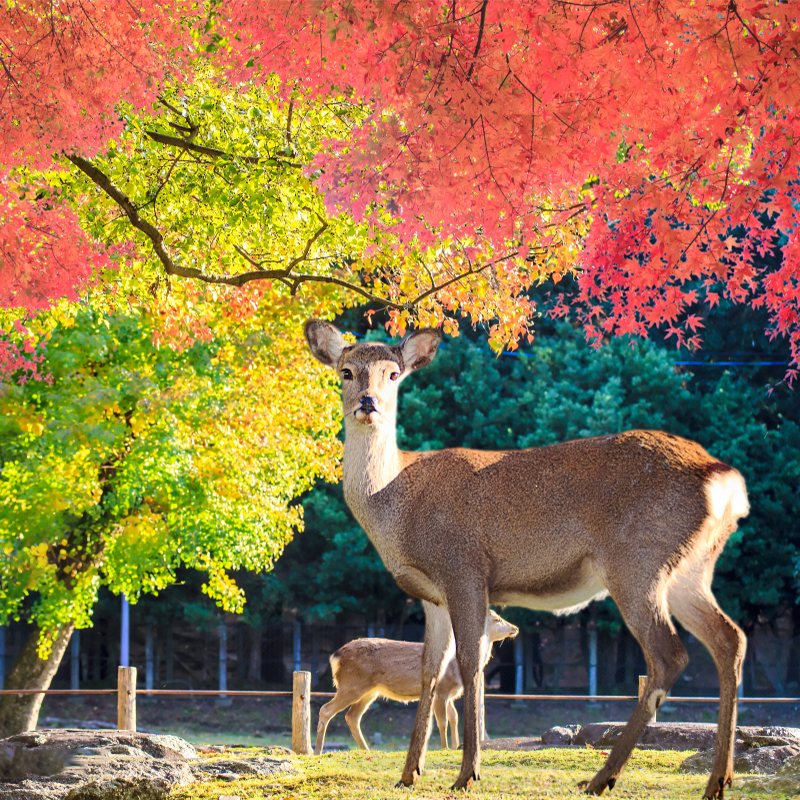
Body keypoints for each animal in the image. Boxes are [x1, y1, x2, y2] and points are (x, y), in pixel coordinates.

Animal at [314, 608, 520, 752]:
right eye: (497, 619)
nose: (515, 628)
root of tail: (334, 657)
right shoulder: (441, 690)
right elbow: (442, 721)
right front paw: (445, 748)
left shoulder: (450, 694)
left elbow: (454, 717)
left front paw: (455, 747)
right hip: (351, 685)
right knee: (326, 709)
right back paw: (317, 751)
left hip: (370, 691)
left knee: (352, 716)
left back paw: (367, 750)